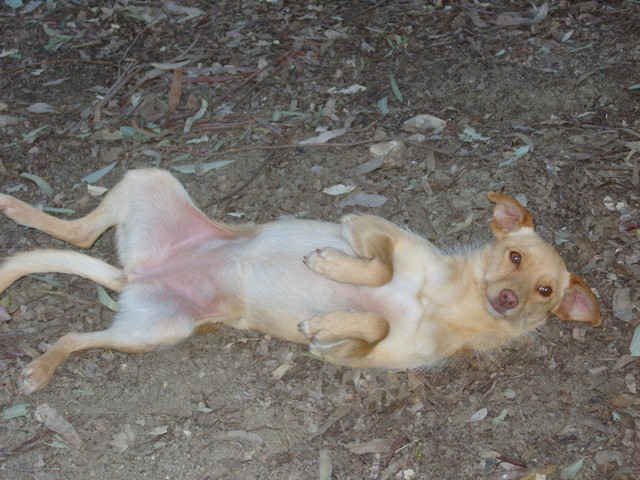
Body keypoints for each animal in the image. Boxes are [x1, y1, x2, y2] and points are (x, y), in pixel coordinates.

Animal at [0, 169, 600, 394]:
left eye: (546, 291)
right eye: (514, 256)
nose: (507, 299)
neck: (445, 300)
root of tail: (137, 271)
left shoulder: (356, 355)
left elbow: (370, 324)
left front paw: (327, 318)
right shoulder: (365, 225)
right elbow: (380, 270)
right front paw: (330, 266)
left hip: (153, 331)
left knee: (75, 329)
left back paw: (40, 365)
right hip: (152, 178)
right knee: (78, 235)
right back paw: (14, 207)